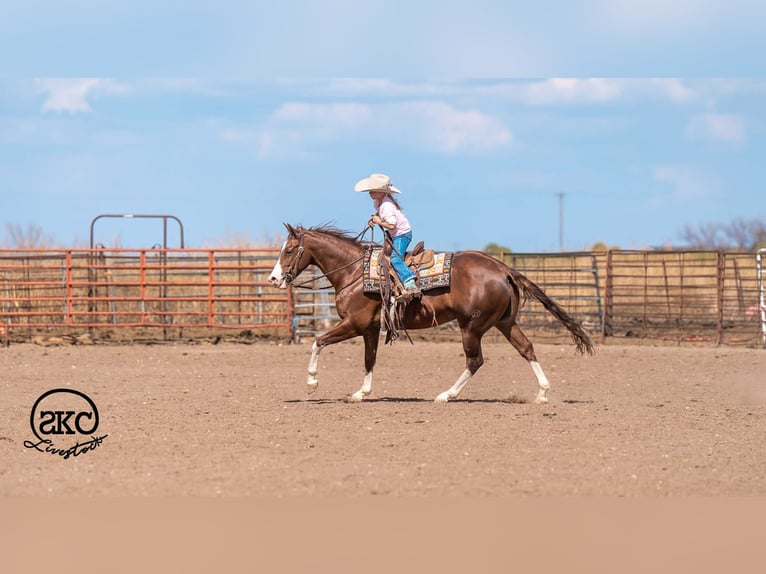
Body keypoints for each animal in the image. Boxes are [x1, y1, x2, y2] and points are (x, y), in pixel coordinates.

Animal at [269, 224, 594, 403]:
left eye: (289, 250)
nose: (273, 278)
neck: (354, 273)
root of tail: (501, 267)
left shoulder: (354, 324)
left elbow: (318, 342)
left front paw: (312, 383)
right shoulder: (370, 329)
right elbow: (369, 360)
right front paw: (361, 393)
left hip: (472, 326)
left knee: (475, 360)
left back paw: (446, 395)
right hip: (504, 322)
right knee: (526, 348)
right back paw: (542, 393)